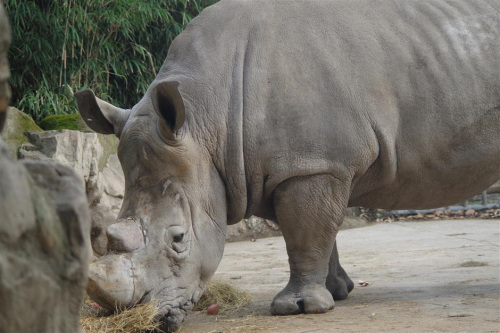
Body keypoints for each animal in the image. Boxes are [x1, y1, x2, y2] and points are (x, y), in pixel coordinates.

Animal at [75, 0, 500, 330]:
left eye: (178, 239)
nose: (144, 319)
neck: (208, 120)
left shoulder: (312, 164)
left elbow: (304, 232)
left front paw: (298, 308)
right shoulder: (286, 167)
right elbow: (317, 232)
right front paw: (336, 291)